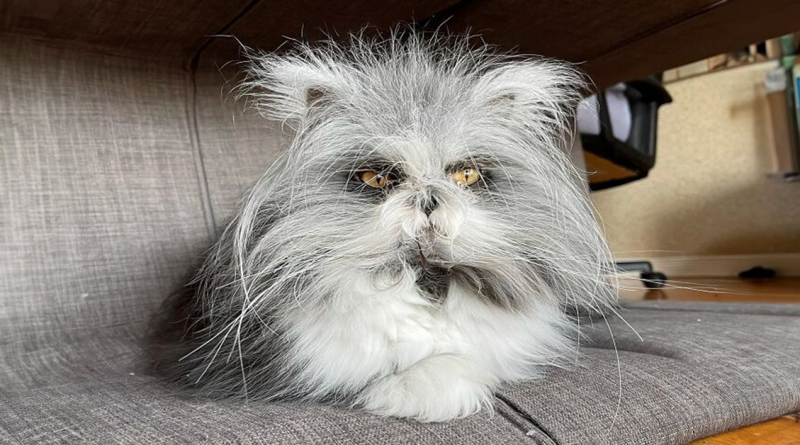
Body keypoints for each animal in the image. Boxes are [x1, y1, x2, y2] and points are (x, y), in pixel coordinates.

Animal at [156, 30, 620, 420]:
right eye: (378, 179)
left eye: (466, 175)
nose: (428, 197)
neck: (424, 277)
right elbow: (424, 367)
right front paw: (420, 397)